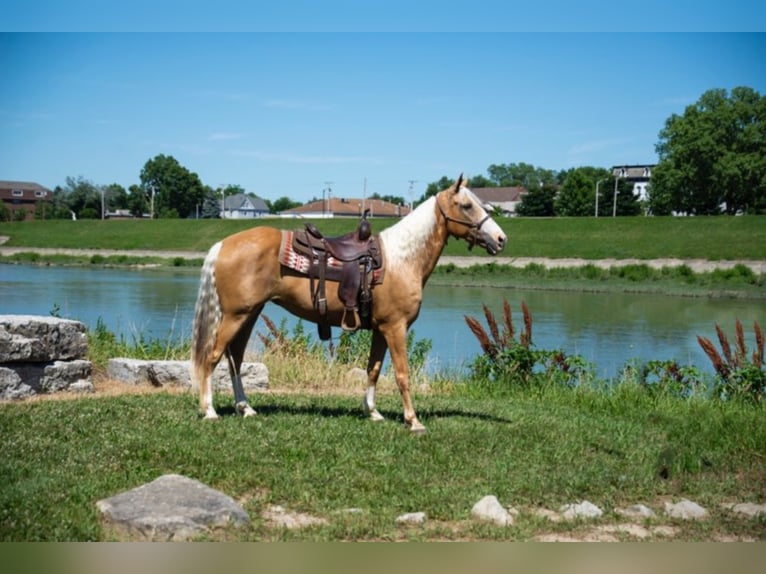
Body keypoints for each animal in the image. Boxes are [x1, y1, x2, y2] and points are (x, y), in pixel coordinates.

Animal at [189, 173, 508, 434]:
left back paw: (245, 408)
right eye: (466, 206)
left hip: (249, 314)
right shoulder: (396, 327)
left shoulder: (381, 329)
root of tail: (223, 245)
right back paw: (210, 411)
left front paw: (373, 412)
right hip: (235, 315)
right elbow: (402, 374)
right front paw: (413, 420)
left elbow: (374, 370)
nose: (501, 238)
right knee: (211, 357)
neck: (402, 259)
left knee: (234, 357)